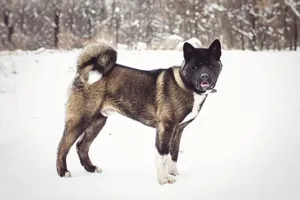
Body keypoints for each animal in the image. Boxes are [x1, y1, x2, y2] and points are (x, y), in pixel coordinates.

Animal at [56, 39, 223, 184]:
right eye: (195, 67)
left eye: (211, 66)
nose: (204, 77)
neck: (185, 84)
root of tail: (83, 69)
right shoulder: (165, 127)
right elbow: (163, 155)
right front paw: (163, 179)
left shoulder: (178, 130)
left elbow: (173, 154)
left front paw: (173, 172)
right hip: (80, 119)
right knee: (63, 146)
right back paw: (62, 172)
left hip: (98, 121)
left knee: (82, 146)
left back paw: (91, 168)